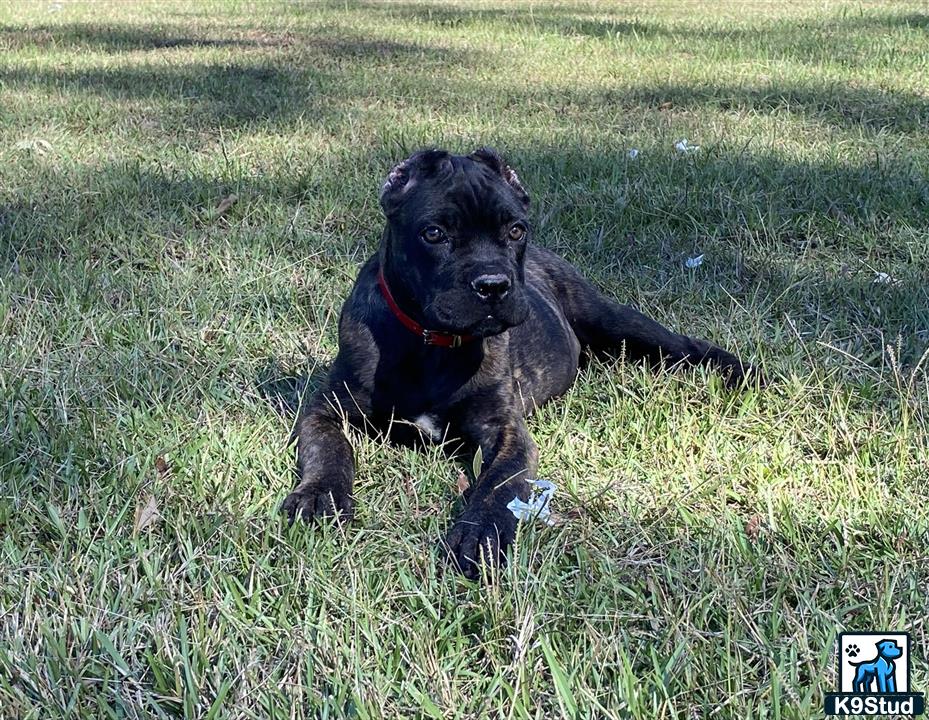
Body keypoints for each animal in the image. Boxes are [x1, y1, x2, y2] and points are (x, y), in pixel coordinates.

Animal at [280, 148, 756, 580]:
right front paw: (320, 495)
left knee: (682, 344)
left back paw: (743, 371)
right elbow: (329, 449)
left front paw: (480, 534)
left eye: (515, 230)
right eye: (433, 233)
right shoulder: (327, 408)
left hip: (614, 318)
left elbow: (499, 484)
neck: (432, 343)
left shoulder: (505, 429)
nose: (493, 285)